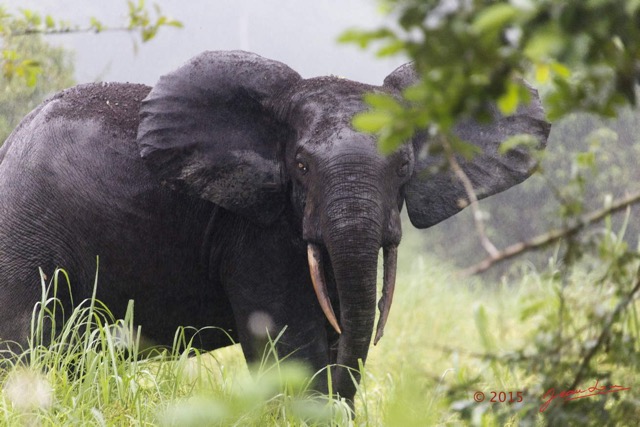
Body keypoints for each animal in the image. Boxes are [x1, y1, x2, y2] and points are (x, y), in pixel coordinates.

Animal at [0, 50, 552, 404]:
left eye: (403, 167)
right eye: (301, 166)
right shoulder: (253, 231)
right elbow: (291, 344)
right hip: (24, 236)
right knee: (27, 343)